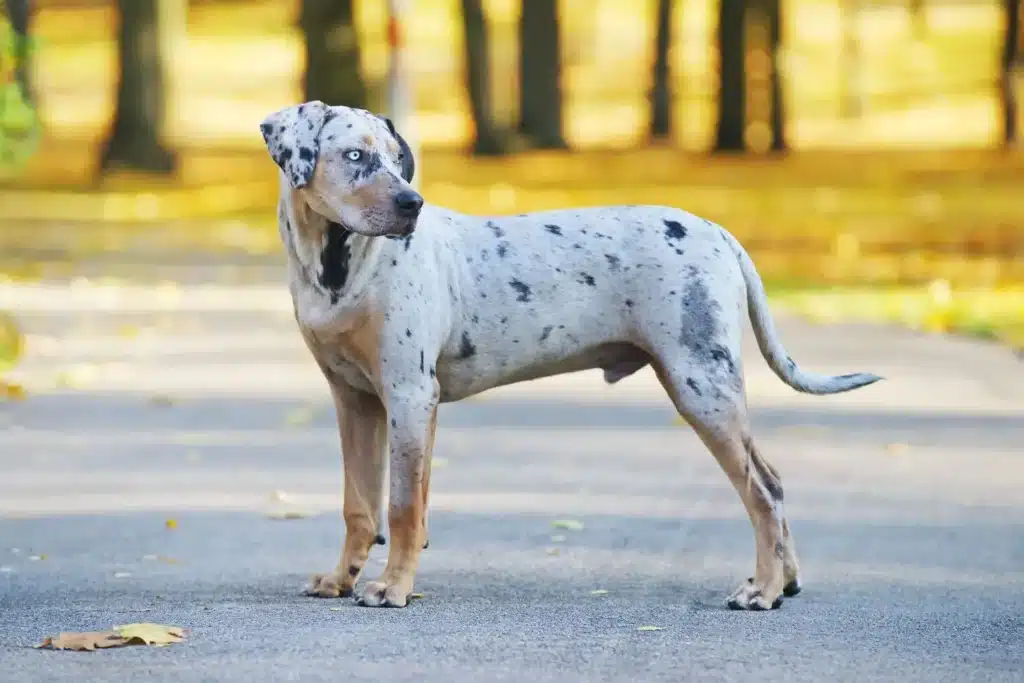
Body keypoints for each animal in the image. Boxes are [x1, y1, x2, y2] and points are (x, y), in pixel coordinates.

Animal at [256, 101, 880, 614]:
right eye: (355, 156)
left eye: (396, 159)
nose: (413, 203)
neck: (341, 269)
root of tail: (719, 233)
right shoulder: (356, 402)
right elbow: (359, 505)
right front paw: (341, 579)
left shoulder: (410, 397)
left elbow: (405, 505)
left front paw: (392, 587)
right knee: (772, 482)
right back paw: (784, 581)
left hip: (703, 387)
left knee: (763, 490)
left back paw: (763, 591)